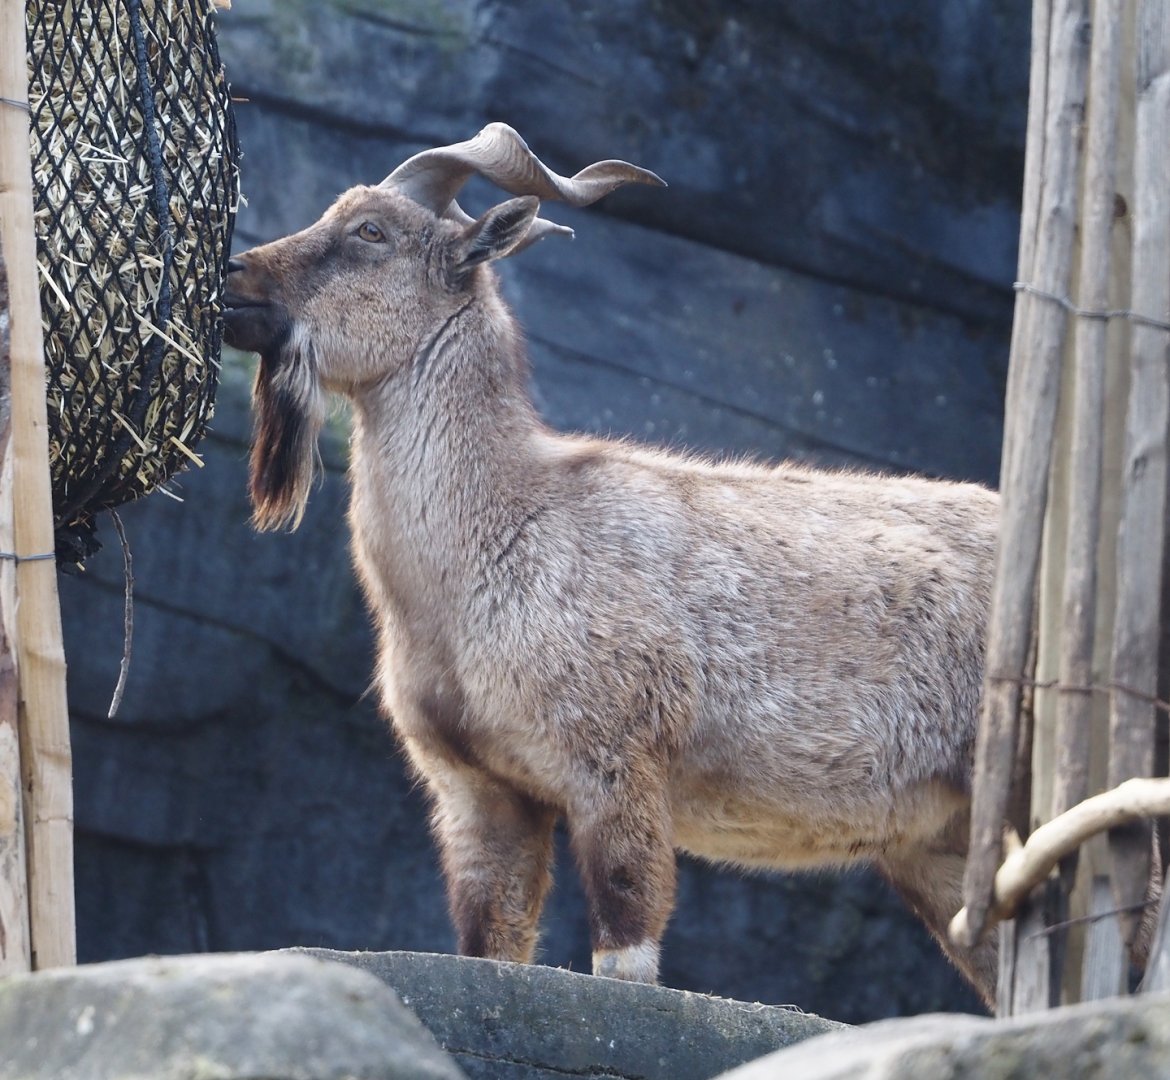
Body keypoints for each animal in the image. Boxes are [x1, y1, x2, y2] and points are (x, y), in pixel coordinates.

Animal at [223, 123, 1000, 1006]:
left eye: (370, 232)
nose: (235, 277)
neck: (497, 537)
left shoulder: (616, 766)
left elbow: (625, 953)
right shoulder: (481, 792)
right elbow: (492, 940)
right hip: (937, 843)